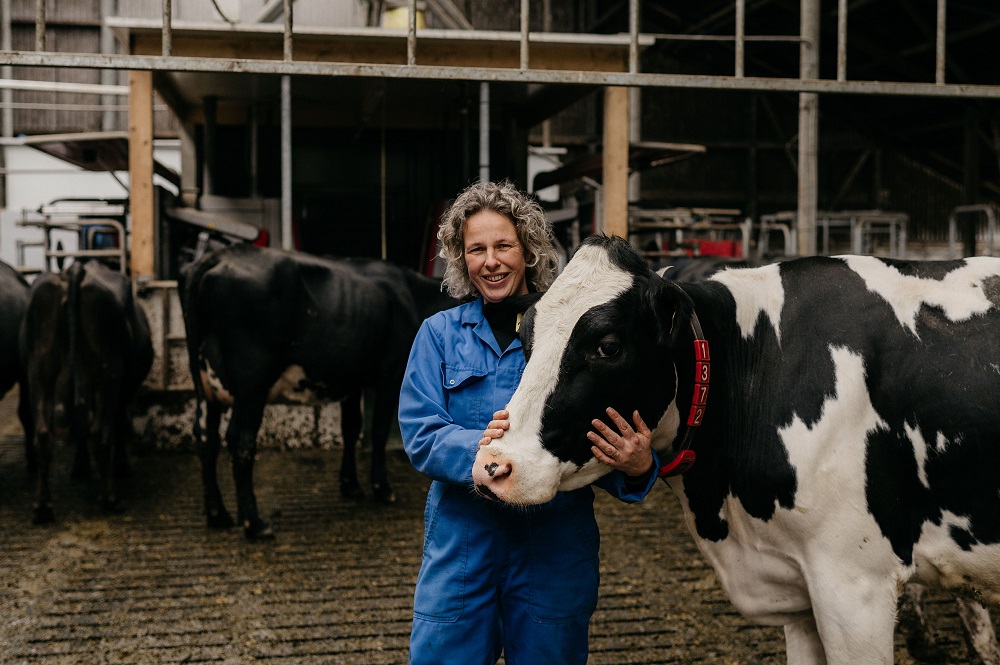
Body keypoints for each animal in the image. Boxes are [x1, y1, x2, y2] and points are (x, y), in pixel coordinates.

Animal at [21, 260, 153, 524]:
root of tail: (76, 269)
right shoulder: (123, 392)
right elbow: (118, 425)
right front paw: (121, 465)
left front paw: (80, 467)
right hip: (108, 375)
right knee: (101, 432)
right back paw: (111, 498)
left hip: (39, 374)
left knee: (43, 435)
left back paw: (42, 506)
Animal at [181, 244, 458, 540]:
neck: (416, 295)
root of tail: (218, 255)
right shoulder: (392, 375)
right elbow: (379, 432)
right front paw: (382, 488)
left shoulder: (352, 379)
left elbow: (351, 428)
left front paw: (350, 484)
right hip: (252, 382)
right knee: (240, 441)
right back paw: (254, 523)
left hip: (205, 383)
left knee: (205, 438)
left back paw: (217, 514)